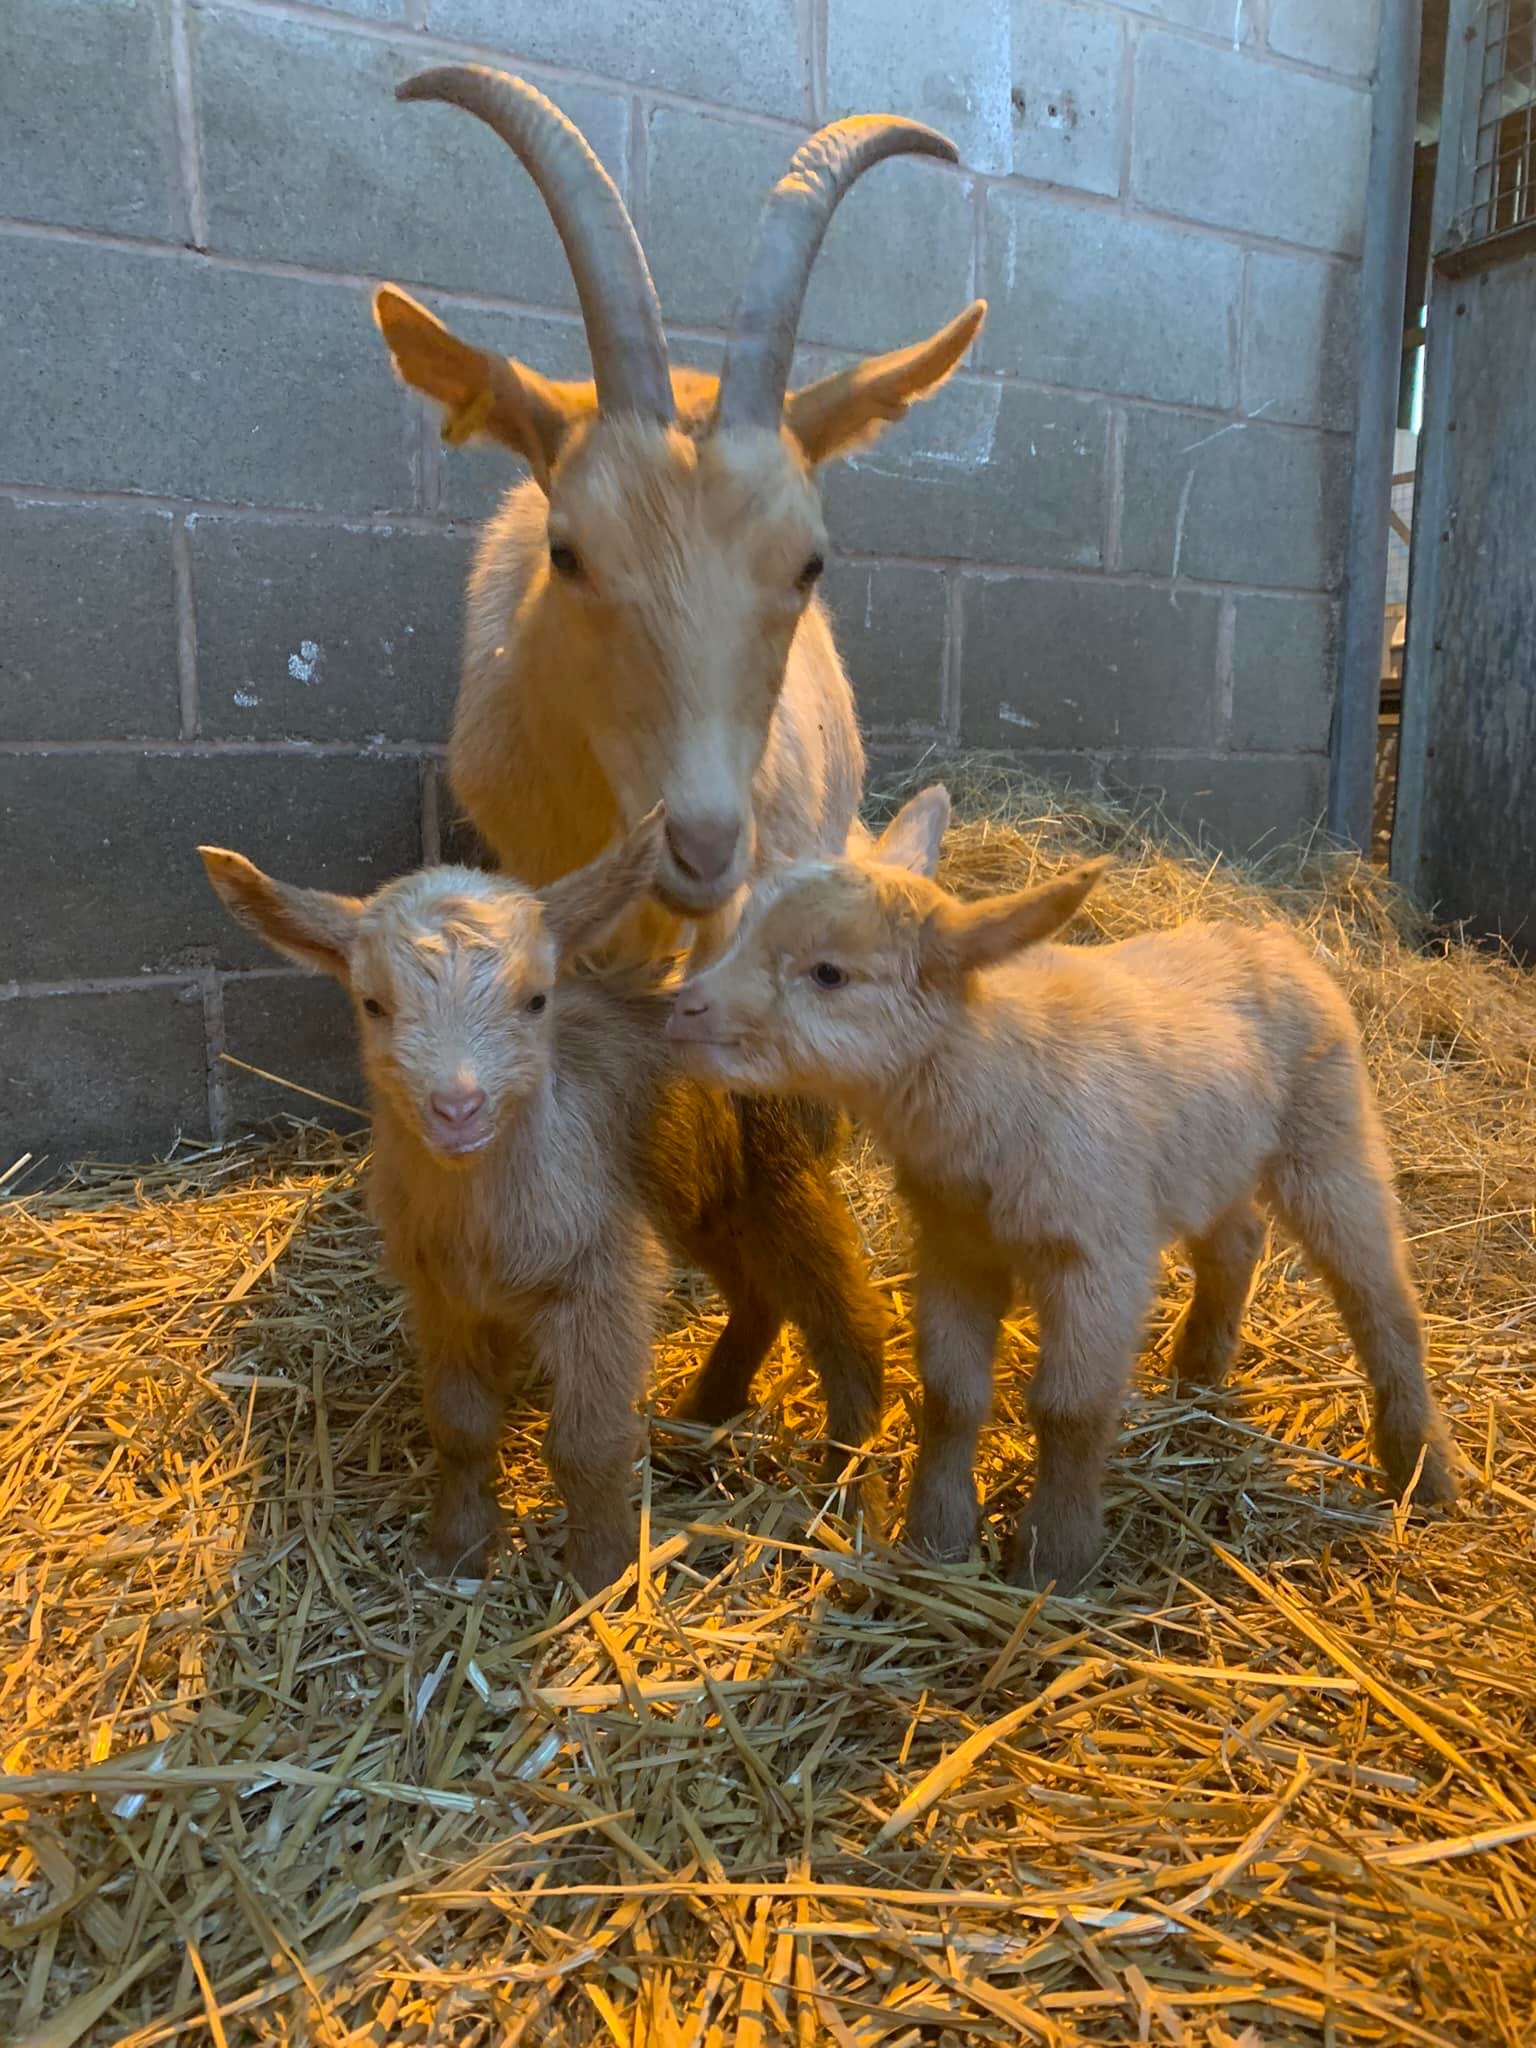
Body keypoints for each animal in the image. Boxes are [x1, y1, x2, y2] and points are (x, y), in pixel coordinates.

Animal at [199, 814, 885, 1588]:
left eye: (535, 1000)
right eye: (373, 1004)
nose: (457, 1108)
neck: (484, 1223)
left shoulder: (600, 1277)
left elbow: (586, 1442)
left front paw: (601, 1572)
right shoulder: (445, 1294)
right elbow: (459, 1425)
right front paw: (456, 1549)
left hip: (779, 1164)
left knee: (846, 1313)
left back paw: (849, 1493)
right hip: (700, 1189)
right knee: (758, 1294)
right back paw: (706, 1414)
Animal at [666, 788, 1460, 1590]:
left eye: (829, 973)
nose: (683, 1008)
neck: (994, 1075)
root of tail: (1275, 938)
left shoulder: (1098, 1254)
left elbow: (1069, 1410)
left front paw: (1054, 1559)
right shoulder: (954, 1248)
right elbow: (951, 1396)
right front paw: (937, 1537)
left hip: (1328, 1136)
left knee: (1379, 1296)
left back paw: (1421, 1472)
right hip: (1211, 1157)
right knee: (1238, 1241)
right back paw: (1199, 1374)